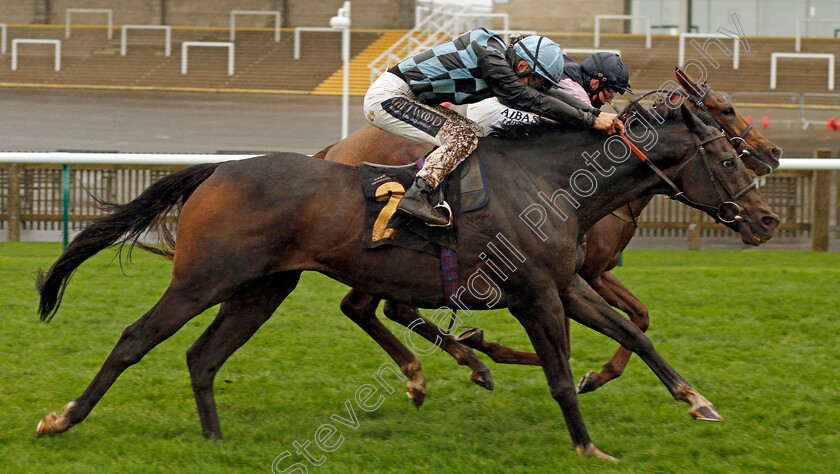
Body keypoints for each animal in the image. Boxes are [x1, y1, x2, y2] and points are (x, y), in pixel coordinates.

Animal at [36, 103, 776, 460]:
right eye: (726, 157)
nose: (766, 218)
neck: (550, 181)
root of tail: (217, 169)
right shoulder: (537, 293)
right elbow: (562, 374)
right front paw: (587, 444)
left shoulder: (568, 284)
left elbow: (634, 333)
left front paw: (697, 401)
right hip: (203, 279)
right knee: (136, 340)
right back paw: (61, 418)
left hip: (262, 289)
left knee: (203, 355)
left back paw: (216, 443)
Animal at [308, 70, 780, 396]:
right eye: (725, 111)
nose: (772, 151)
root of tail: (333, 150)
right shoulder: (580, 275)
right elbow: (576, 341)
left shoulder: (583, 274)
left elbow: (638, 318)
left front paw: (596, 374)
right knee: (381, 307)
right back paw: (464, 361)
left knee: (368, 308)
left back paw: (449, 364)